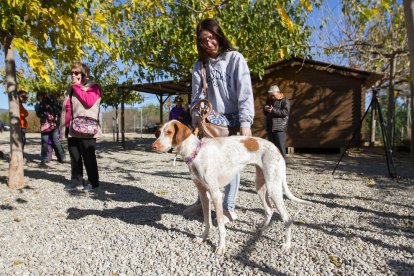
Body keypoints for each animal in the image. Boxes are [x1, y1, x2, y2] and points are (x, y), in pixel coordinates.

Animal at [153, 119, 314, 256]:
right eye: (159, 132)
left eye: (169, 132)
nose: (153, 146)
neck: (197, 153)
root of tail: (277, 148)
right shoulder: (204, 195)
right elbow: (207, 222)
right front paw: (203, 238)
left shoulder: (216, 195)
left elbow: (220, 226)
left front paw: (221, 247)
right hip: (260, 186)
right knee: (269, 210)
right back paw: (262, 229)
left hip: (273, 188)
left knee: (287, 218)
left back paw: (287, 245)